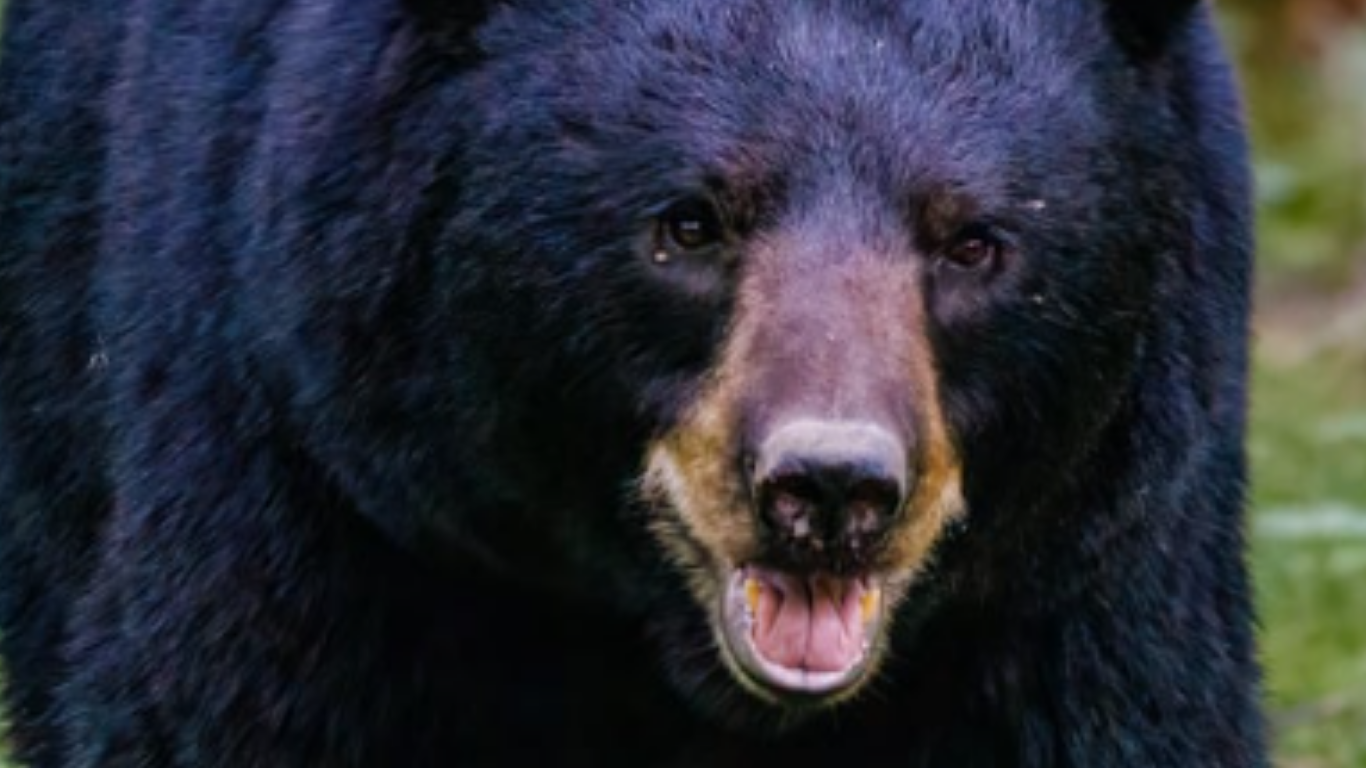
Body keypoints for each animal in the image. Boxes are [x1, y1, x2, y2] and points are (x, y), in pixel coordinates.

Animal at [0, 0, 1265, 765]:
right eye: (686, 223)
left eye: (974, 243)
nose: (830, 490)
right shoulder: (312, 460)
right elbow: (234, 701)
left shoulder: (1087, 565)